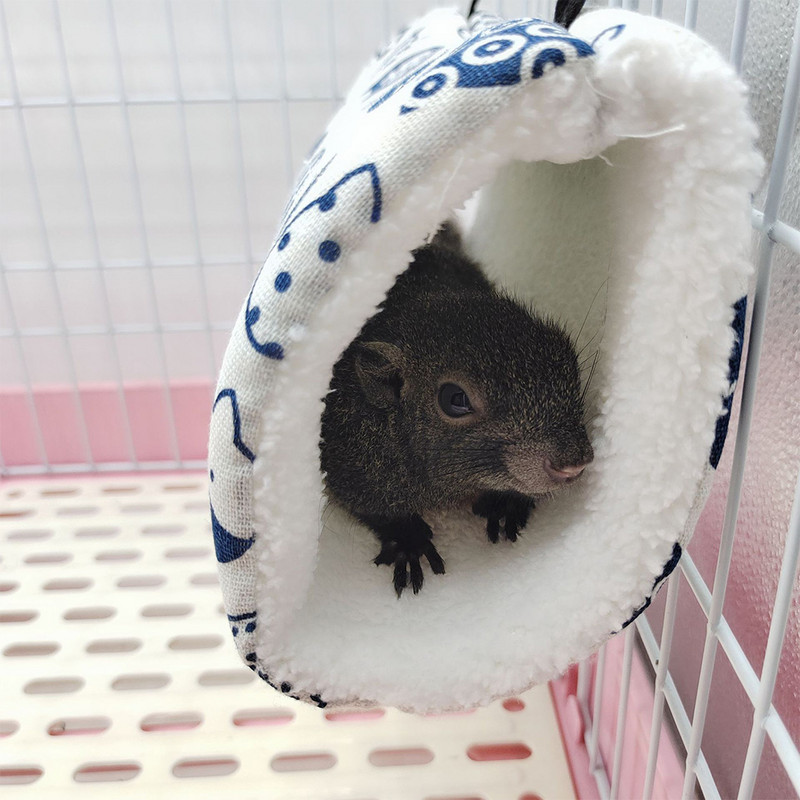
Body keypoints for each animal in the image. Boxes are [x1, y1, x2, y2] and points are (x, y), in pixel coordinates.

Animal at [319, 222, 593, 596]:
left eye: (569, 361)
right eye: (455, 399)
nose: (573, 463)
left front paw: (507, 501)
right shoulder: (345, 459)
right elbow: (372, 506)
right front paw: (408, 539)